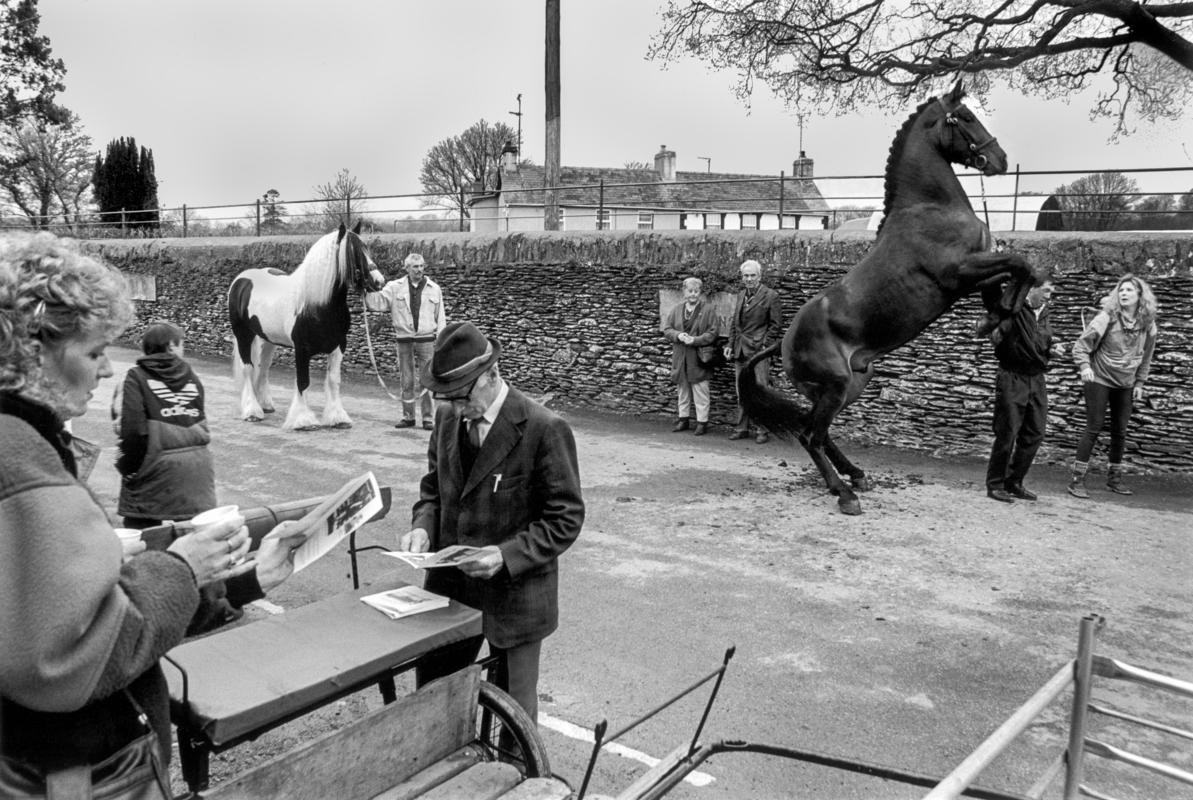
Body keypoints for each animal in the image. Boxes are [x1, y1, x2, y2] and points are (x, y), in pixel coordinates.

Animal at [226, 219, 381, 431]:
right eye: (353, 253)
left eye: (367, 249)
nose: (379, 281)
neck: (317, 305)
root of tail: (241, 280)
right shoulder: (302, 349)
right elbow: (303, 381)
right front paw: (303, 420)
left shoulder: (339, 346)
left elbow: (334, 381)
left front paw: (338, 418)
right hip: (243, 335)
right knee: (248, 368)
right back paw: (252, 411)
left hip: (268, 339)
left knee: (263, 367)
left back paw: (264, 405)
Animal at [739, 81, 1040, 517]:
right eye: (966, 116)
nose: (999, 159)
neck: (930, 206)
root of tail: (784, 342)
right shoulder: (958, 272)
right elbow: (1022, 264)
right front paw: (1000, 316)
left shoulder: (974, 272)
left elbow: (1011, 276)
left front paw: (996, 318)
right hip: (836, 386)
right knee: (810, 436)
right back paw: (845, 493)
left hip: (848, 386)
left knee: (819, 432)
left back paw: (856, 475)